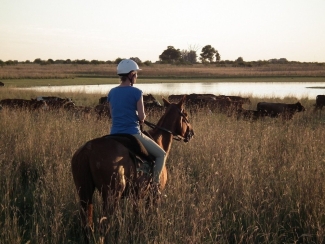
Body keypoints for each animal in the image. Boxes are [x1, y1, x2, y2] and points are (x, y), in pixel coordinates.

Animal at [71, 95, 192, 233]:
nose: (191, 133)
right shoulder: (153, 195)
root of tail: (88, 149)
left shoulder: (137, 195)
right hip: (112, 196)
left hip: (84, 194)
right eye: (186, 114)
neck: (159, 140)